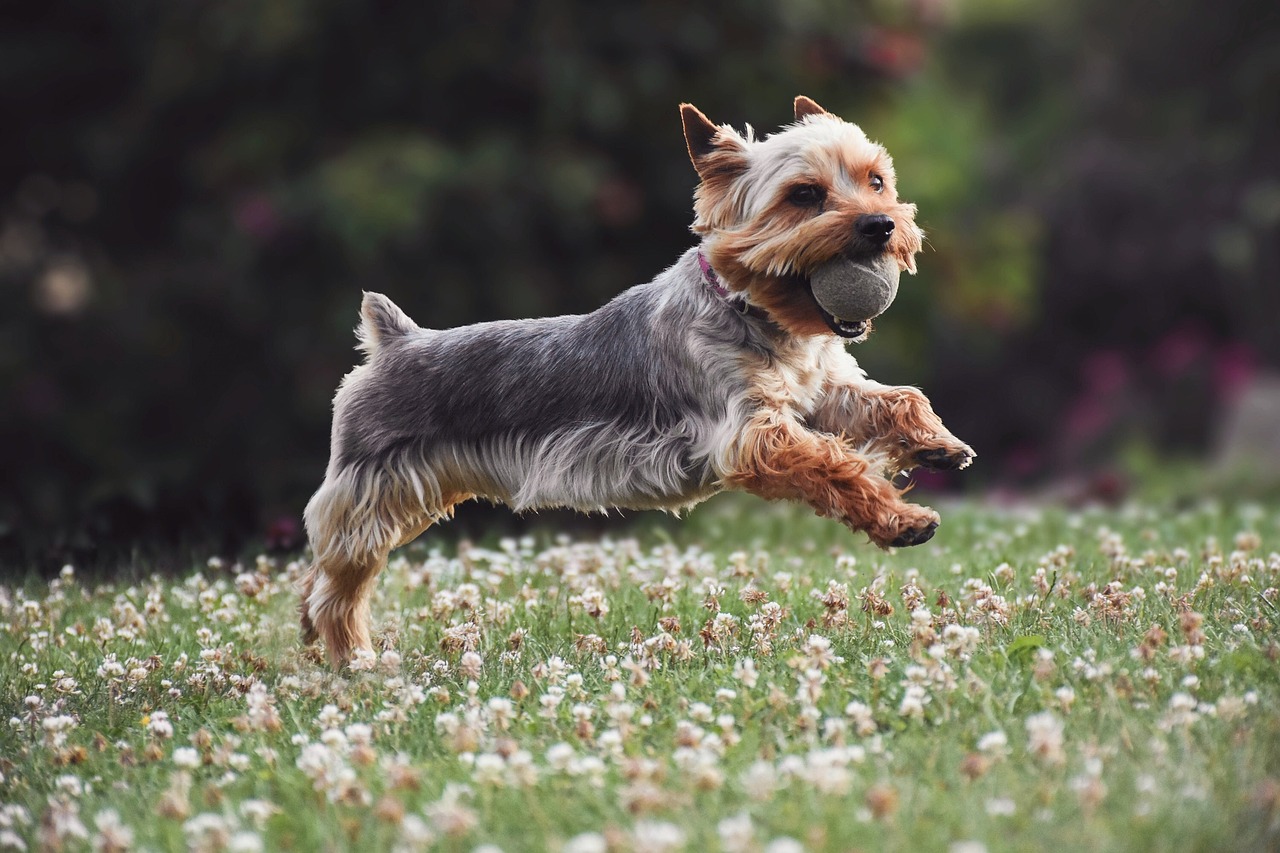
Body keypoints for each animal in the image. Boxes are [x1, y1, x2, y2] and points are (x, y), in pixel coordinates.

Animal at [299, 94, 972, 666]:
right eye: (804, 195)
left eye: (876, 181)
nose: (881, 225)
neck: (759, 311)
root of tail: (396, 340)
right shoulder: (749, 434)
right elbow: (836, 464)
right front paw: (904, 520)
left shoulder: (823, 388)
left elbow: (898, 400)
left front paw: (940, 444)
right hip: (375, 487)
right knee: (337, 582)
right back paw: (352, 658)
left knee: (318, 571)